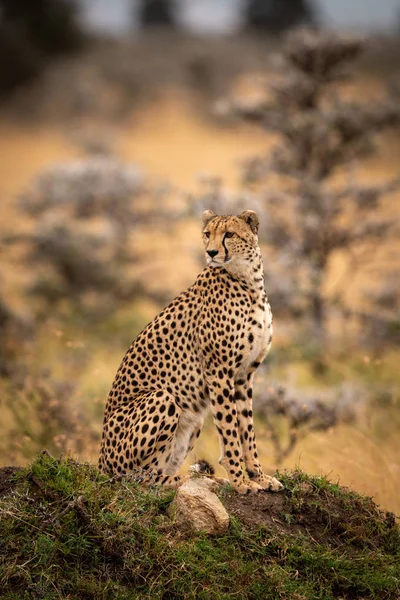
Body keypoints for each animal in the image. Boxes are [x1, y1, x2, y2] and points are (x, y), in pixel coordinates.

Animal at [98, 210, 282, 492]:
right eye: (207, 234)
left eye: (229, 234)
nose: (212, 252)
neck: (248, 280)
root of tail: (99, 464)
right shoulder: (219, 371)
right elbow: (230, 429)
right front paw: (240, 481)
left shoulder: (244, 374)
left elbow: (247, 429)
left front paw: (259, 476)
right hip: (162, 399)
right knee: (138, 477)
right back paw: (192, 479)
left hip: (193, 420)